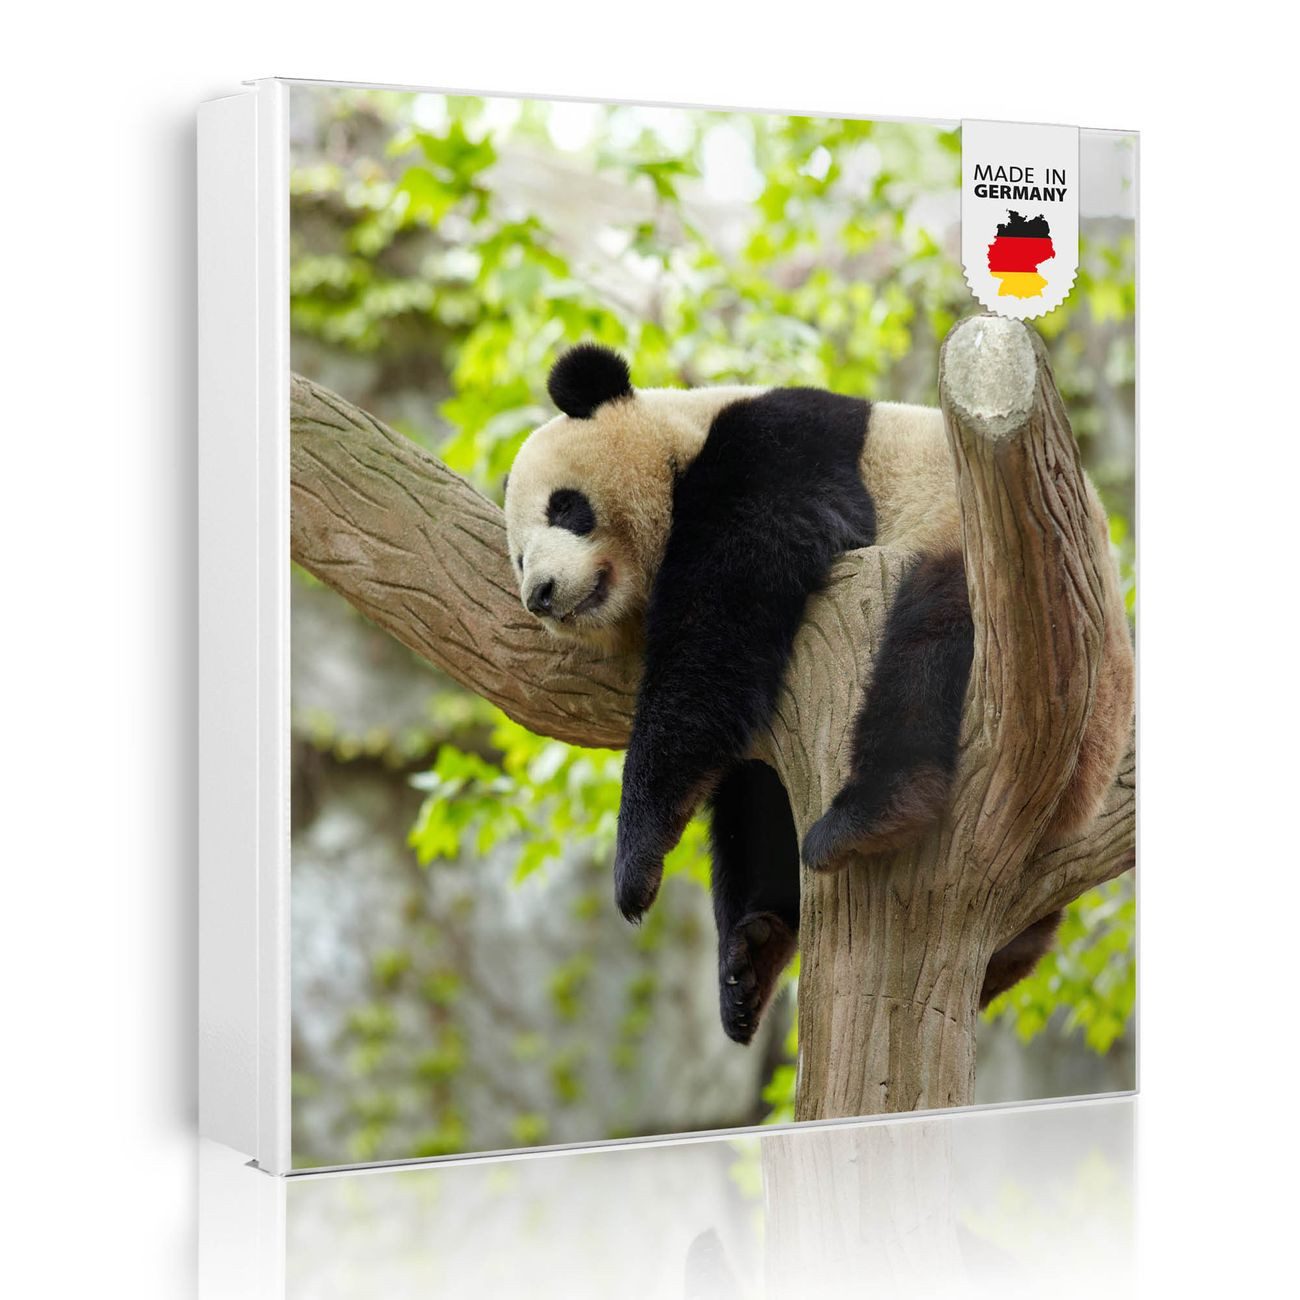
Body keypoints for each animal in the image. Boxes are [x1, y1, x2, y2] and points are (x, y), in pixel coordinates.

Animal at [504, 342, 1133, 1044]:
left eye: (564, 507)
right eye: (519, 558)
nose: (541, 595)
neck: (683, 433)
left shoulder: (780, 449)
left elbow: (726, 603)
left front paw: (636, 859)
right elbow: (749, 786)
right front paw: (745, 958)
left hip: (1017, 603)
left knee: (930, 640)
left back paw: (872, 816)